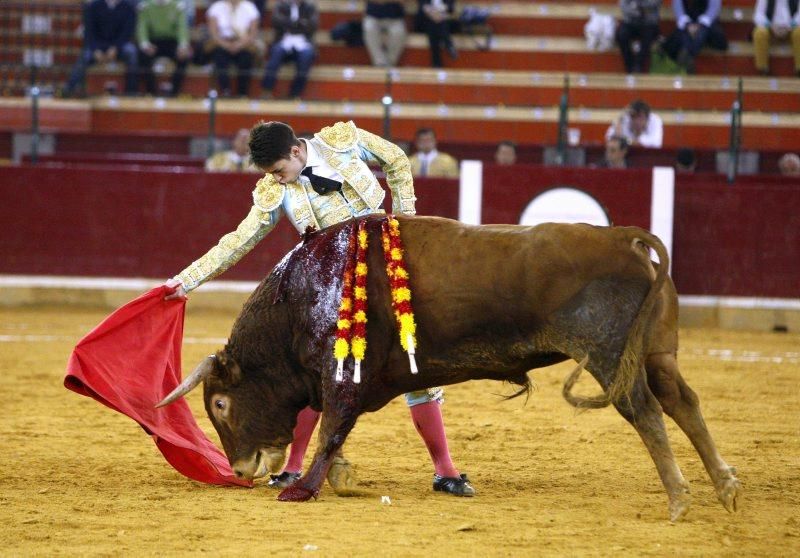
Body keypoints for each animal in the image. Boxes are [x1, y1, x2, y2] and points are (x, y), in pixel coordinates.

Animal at [158, 215, 744, 524]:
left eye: (219, 403)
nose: (239, 469)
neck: (299, 294)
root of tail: (621, 235)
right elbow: (328, 426)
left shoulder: (342, 375)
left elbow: (330, 428)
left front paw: (301, 488)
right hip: (657, 353)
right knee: (683, 403)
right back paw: (725, 486)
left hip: (609, 355)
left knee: (643, 410)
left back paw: (679, 498)